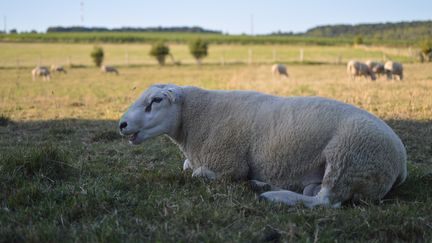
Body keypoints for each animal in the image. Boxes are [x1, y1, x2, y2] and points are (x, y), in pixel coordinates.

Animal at [117, 84, 404, 208]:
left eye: (155, 101)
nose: (121, 124)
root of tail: (402, 161)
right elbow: (187, 166)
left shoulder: (229, 165)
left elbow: (199, 173)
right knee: (314, 192)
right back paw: (263, 185)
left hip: (349, 155)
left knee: (326, 202)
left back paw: (273, 196)